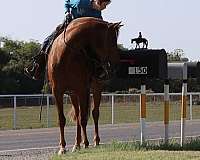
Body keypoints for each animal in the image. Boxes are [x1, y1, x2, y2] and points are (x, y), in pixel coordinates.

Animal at [47, 16, 122, 154]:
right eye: (112, 41)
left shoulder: (82, 90)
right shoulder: (57, 92)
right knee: (77, 115)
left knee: (94, 113)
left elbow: (83, 118)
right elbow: (62, 119)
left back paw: (95, 141)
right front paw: (62, 147)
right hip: (73, 94)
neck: (65, 55)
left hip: (95, 88)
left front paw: (86, 143)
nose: (116, 64)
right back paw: (76, 144)